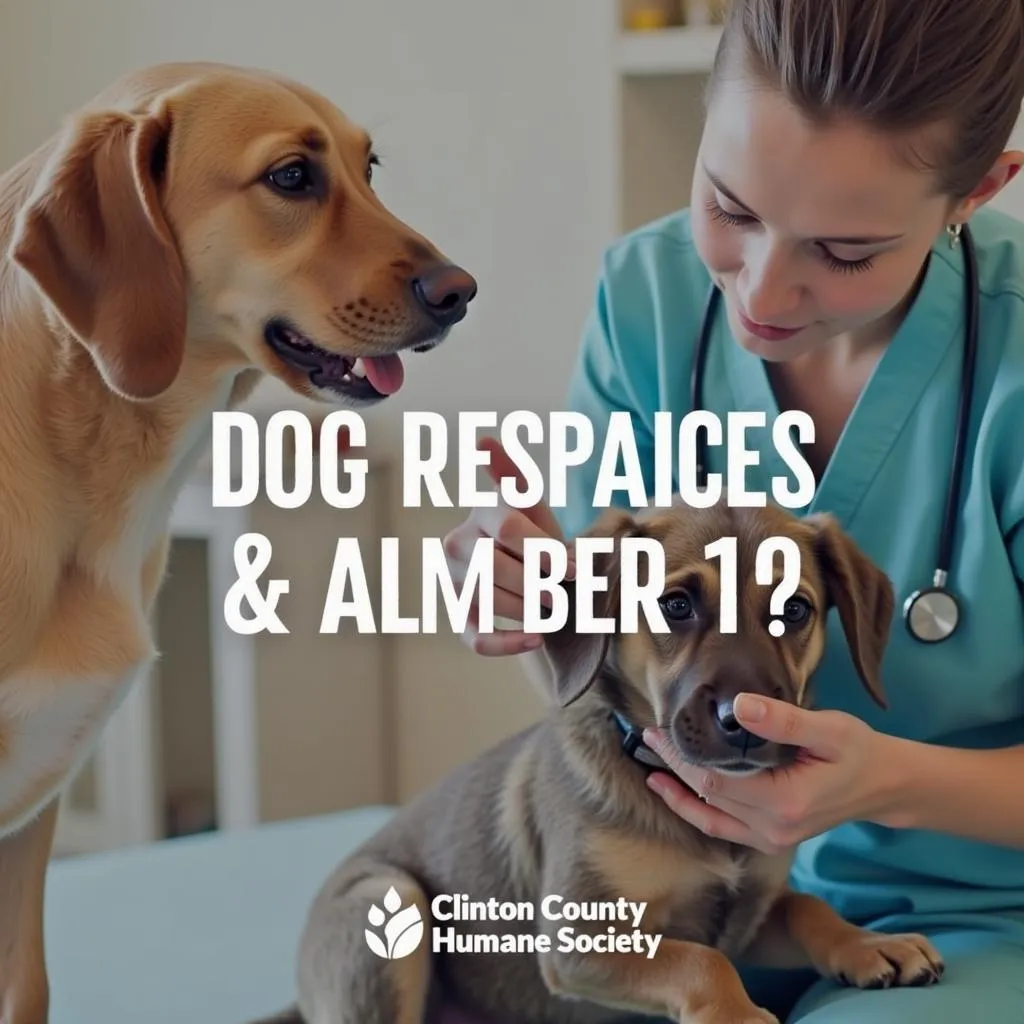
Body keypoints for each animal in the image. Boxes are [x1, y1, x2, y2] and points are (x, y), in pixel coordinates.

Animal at [260, 499, 946, 1024]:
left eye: (794, 609)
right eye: (676, 605)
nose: (743, 724)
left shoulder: (751, 911)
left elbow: (807, 907)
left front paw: (868, 942)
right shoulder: (580, 939)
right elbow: (701, 962)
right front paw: (738, 1015)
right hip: (387, 898)